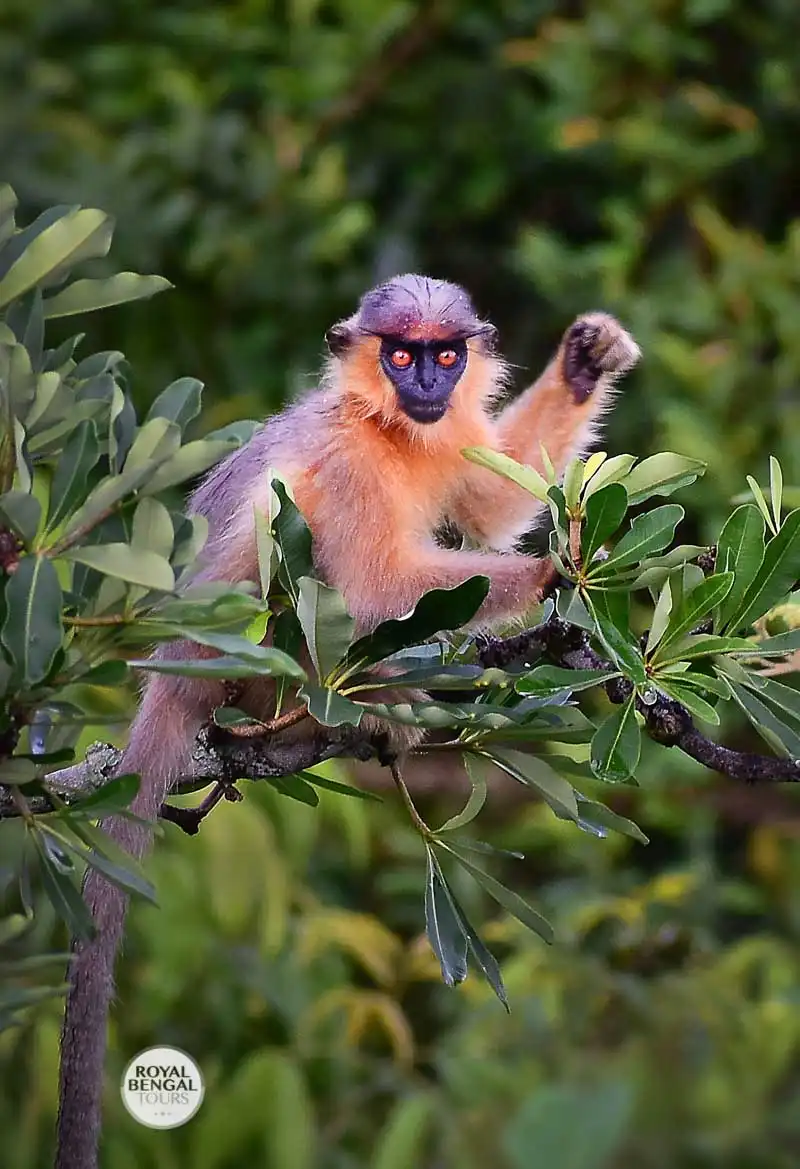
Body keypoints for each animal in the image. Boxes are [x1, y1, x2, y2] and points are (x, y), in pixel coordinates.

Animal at [53, 275, 640, 1169]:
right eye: (400, 353)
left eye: (445, 354)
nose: (427, 382)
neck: (386, 425)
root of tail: (173, 673)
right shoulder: (347, 463)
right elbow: (374, 584)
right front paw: (555, 570)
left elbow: (489, 503)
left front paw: (587, 358)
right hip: (257, 654)